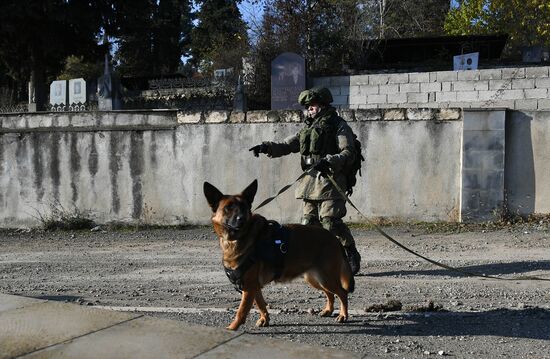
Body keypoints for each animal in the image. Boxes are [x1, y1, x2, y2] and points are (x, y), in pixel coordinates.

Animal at [205, 180, 356, 332]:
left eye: (243, 207)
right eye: (228, 208)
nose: (241, 219)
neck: (237, 239)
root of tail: (335, 238)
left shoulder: (248, 287)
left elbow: (241, 311)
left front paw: (231, 329)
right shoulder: (254, 287)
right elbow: (261, 304)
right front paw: (265, 319)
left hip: (325, 278)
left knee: (342, 292)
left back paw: (343, 315)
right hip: (316, 279)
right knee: (330, 293)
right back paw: (328, 310)